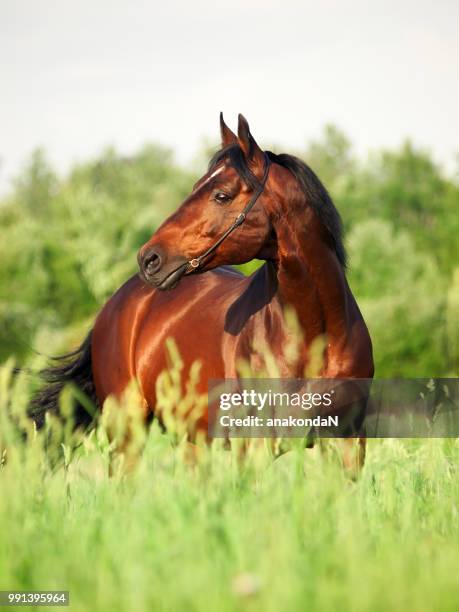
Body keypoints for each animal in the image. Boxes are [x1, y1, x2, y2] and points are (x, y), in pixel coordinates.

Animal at [31, 113, 374, 468]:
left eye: (221, 195)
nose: (149, 258)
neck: (315, 335)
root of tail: (117, 303)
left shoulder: (349, 443)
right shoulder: (255, 447)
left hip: (192, 441)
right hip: (127, 435)